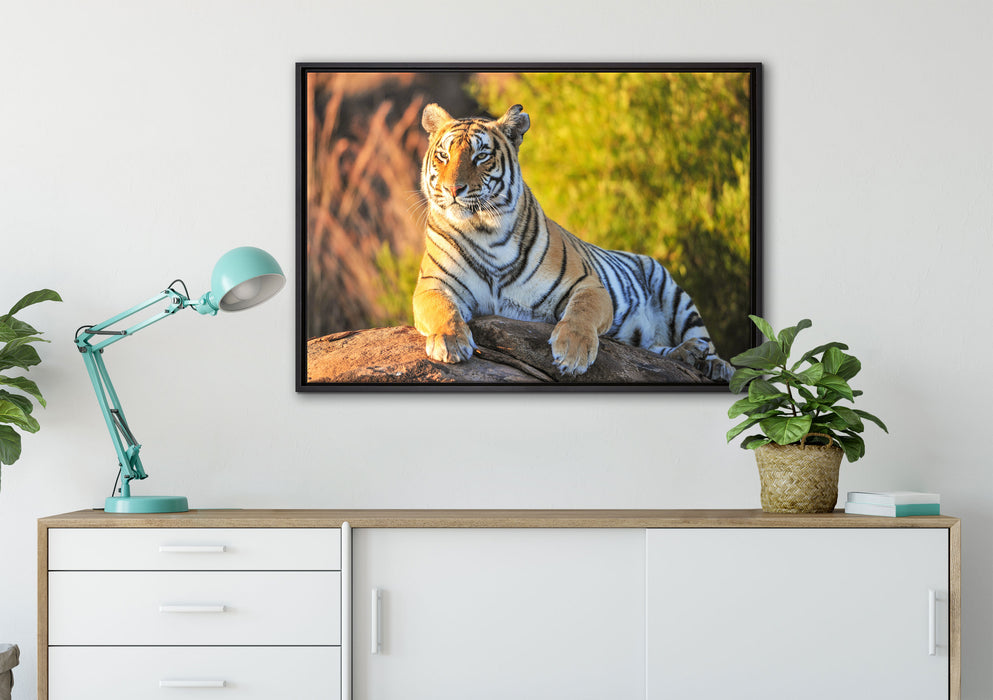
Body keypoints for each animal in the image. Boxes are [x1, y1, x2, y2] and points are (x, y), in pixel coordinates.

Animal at [412, 103, 735, 382]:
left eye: (481, 156)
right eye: (443, 156)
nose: (452, 189)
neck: (485, 231)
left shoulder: (588, 284)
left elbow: (581, 312)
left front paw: (573, 353)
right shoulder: (433, 284)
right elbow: (442, 308)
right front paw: (450, 342)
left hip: (675, 295)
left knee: (704, 341)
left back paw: (714, 364)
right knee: (656, 349)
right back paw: (688, 355)